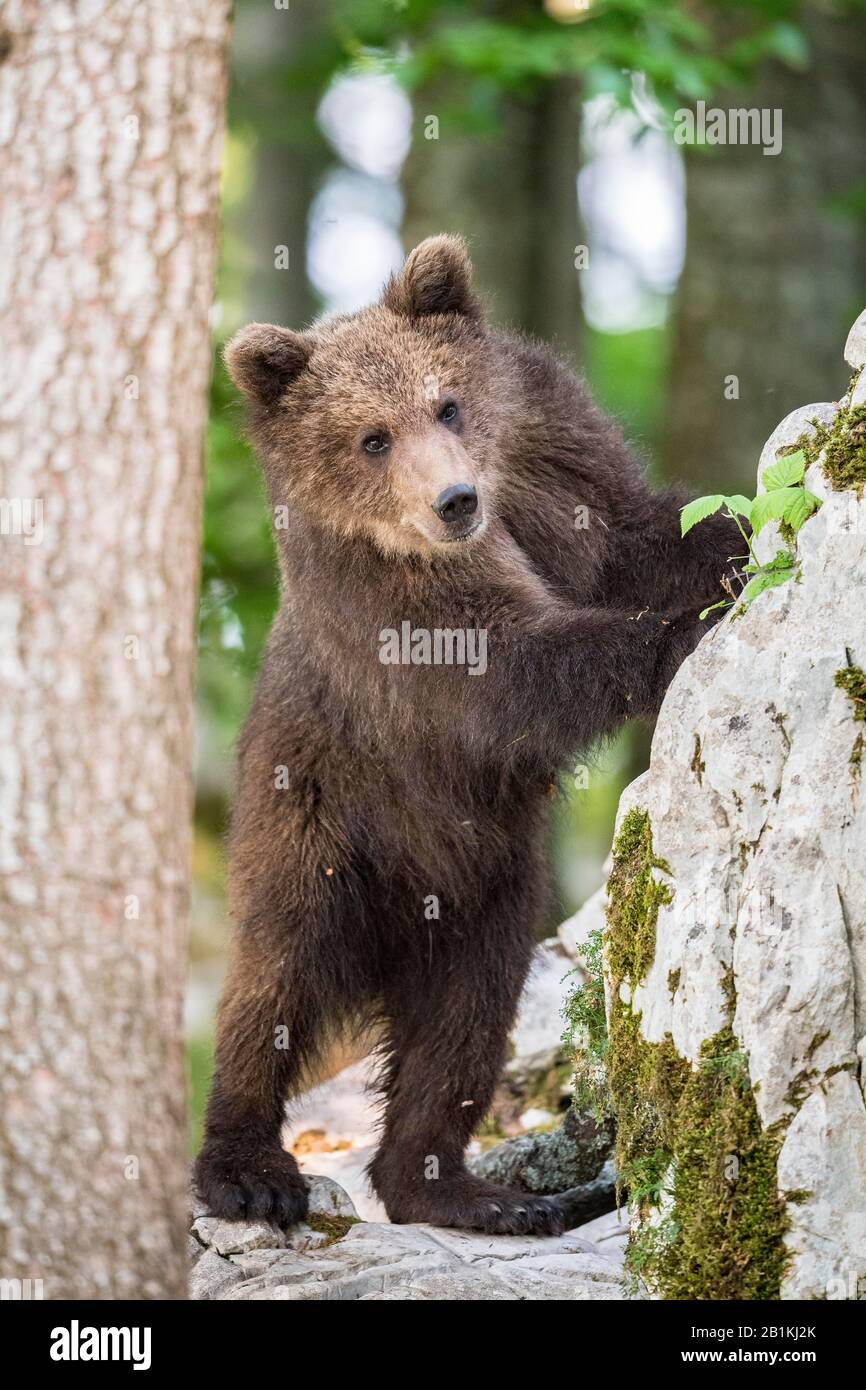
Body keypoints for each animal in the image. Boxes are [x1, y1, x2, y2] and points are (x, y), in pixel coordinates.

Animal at [194, 235, 740, 1236]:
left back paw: (465, 1189)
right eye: (371, 438)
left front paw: (735, 537)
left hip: (496, 882)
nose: (453, 499)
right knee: (274, 977)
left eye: (446, 402)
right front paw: (676, 631)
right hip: (314, 823)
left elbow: (643, 535)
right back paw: (249, 1169)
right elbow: (508, 671)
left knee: (466, 1015)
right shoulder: (388, 608)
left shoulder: (554, 468)